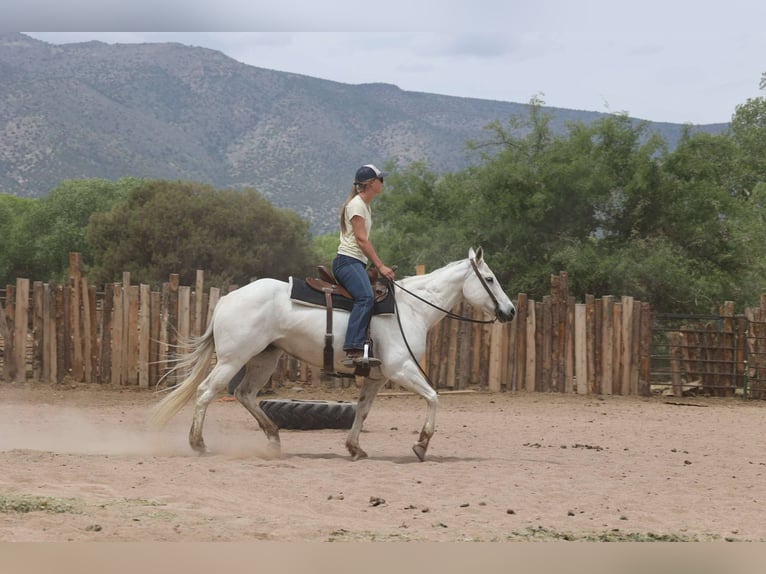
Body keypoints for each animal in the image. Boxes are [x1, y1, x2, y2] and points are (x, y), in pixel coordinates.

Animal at [149, 247, 515, 461]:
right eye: (489, 279)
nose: (510, 311)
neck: (411, 308)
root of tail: (227, 298)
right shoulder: (401, 369)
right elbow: (434, 397)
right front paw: (421, 445)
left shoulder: (376, 378)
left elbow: (362, 412)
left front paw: (354, 447)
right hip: (232, 359)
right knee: (205, 392)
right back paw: (198, 443)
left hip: (265, 358)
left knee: (244, 394)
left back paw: (274, 437)